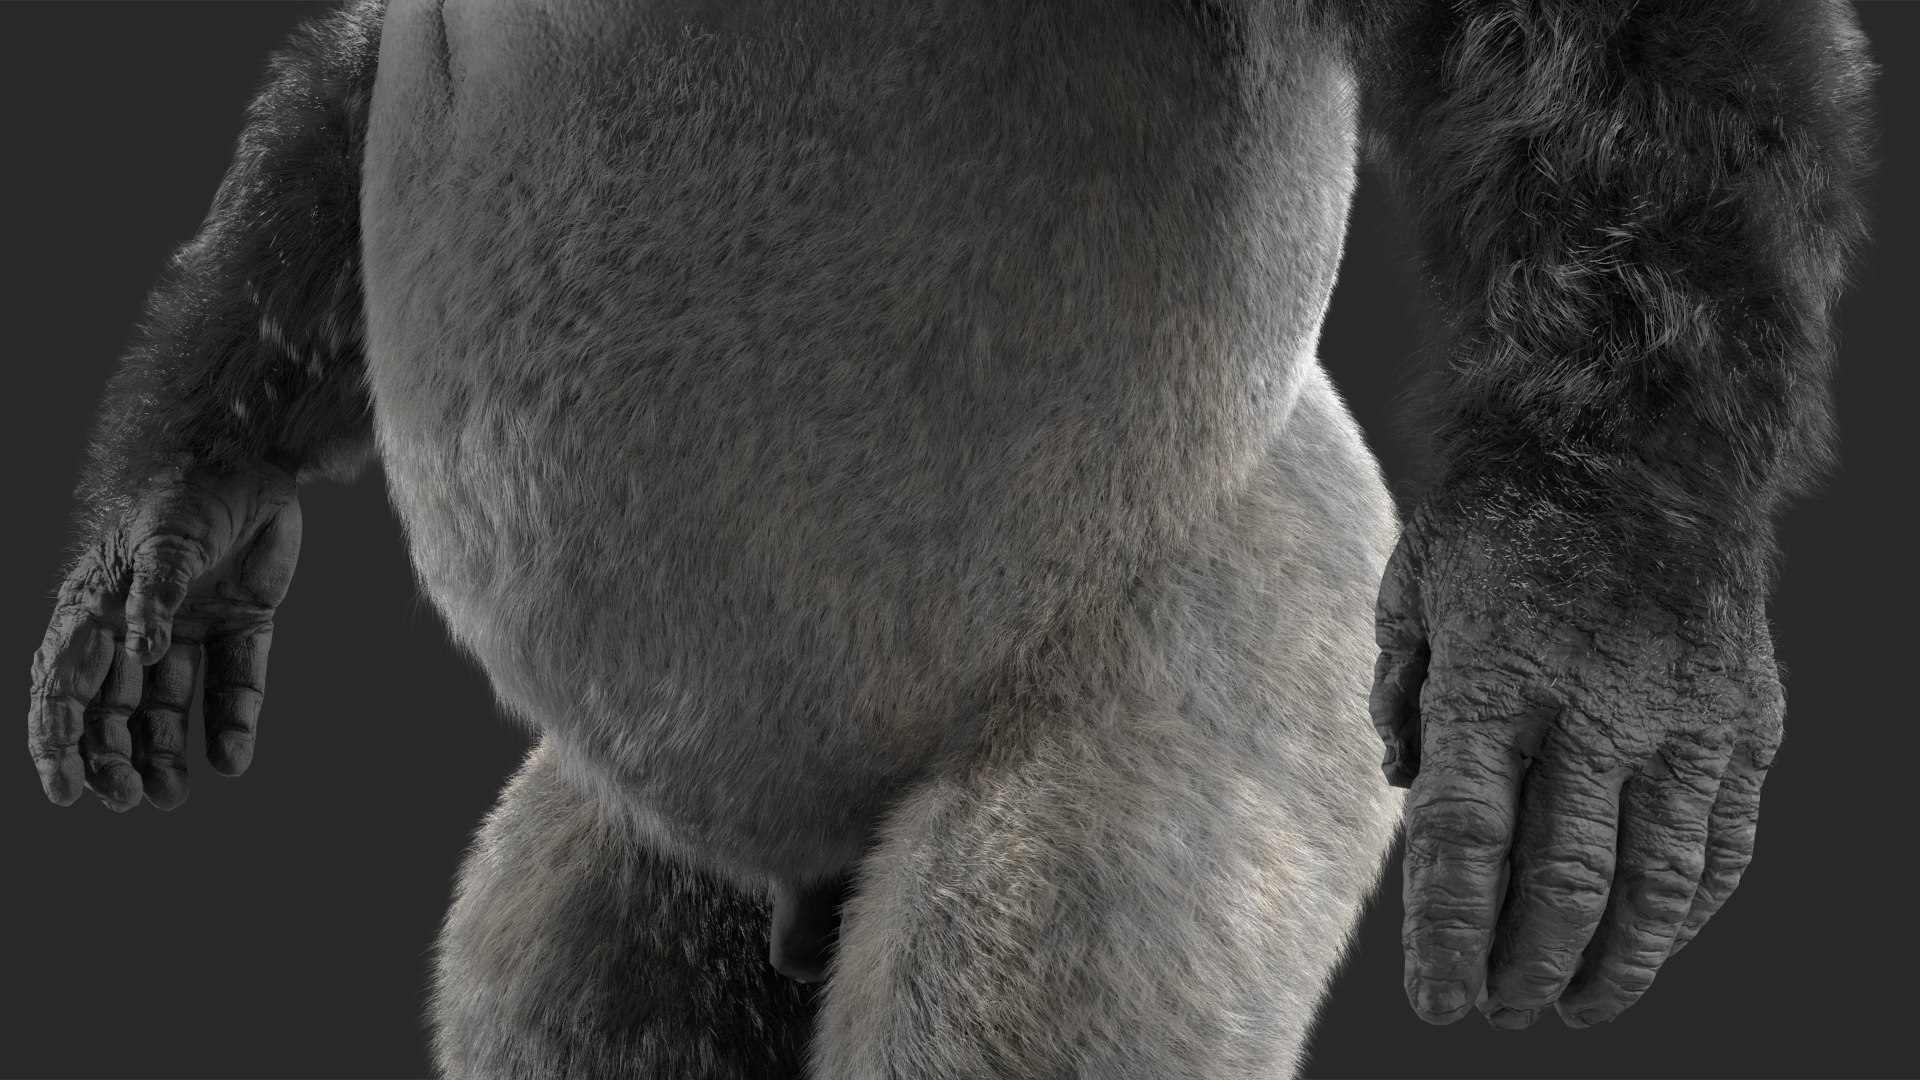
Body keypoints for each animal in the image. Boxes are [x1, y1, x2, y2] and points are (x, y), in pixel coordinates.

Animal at [24, 0, 1875, 1077]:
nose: (181, 509)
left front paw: (1596, 609)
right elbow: (348, 106)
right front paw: (182, 507)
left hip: (1267, 621)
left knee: (1032, 971)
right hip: (681, 835)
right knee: (554, 982)